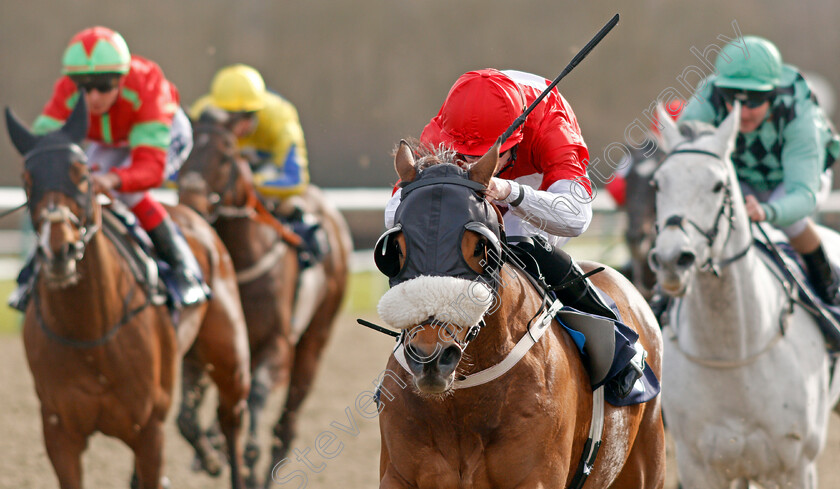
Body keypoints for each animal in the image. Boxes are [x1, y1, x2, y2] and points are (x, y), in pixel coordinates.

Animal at [5, 96, 249, 488]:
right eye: (28, 179)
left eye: (83, 174)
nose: (59, 250)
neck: (91, 334)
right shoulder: (60, 431)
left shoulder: (149, 429)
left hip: (230, 359)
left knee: (232, 421)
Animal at [176, 111, 352, 488]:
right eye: (183, 154)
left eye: (226, 155)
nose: (191, 204)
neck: (241, 260)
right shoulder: (202, 351)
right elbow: (186, 418)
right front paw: (209, 457)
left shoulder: (278, 344)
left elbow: (256, 396)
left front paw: (246, 459)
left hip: (313, 343)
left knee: (285, 427)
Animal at [372, 141, 664, 488]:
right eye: (397, 249)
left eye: (480, 247)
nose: (430, 356)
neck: (462, 403)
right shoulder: (399, 475)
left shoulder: (537, 477)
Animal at [648, 101, 840, 486]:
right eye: (658, 183)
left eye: (718, 185)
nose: (673, 259)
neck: (732, 353)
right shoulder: (700, 466)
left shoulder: (796, 466)